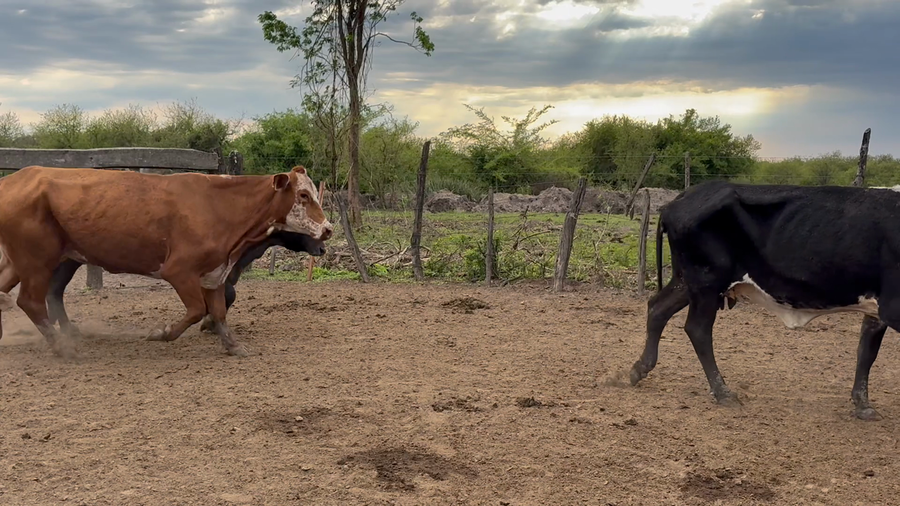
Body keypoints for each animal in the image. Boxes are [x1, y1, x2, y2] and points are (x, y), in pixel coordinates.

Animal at [628, 180, 899, 420]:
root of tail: (680, 199)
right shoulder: (892, 307)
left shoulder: (877, 310)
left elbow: (866, 352)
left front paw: (863, 404)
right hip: (706, 281)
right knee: (698, 329)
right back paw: (723, 392)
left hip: (687, 281)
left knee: (658, 309)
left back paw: (639, 369)